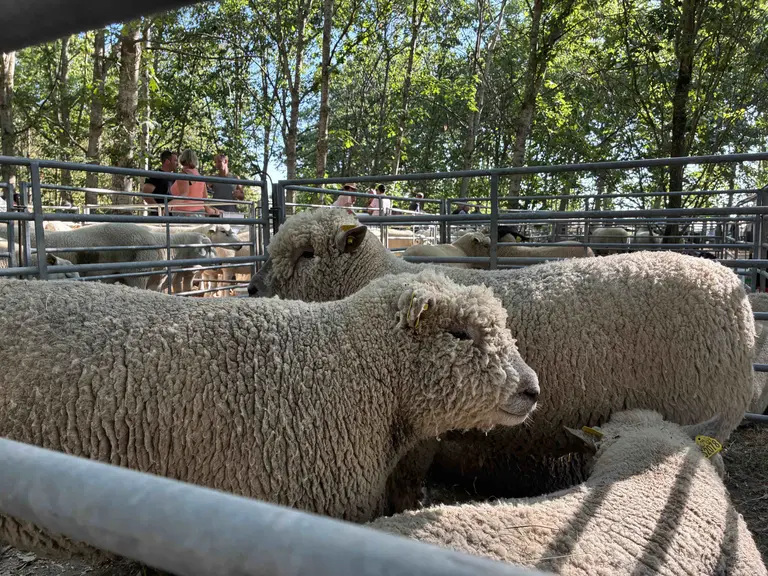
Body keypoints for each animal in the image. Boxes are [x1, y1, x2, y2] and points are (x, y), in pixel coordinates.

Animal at [248, 209, 757, 499]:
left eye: (309, 253)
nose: (251, 288)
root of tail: (731, 287)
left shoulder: (423, 433)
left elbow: (403, 487)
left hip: (699, 414)